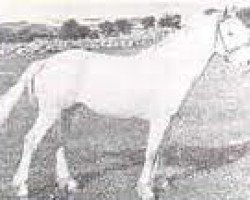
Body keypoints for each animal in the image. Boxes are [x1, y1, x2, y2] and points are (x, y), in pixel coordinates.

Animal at [0, 5, 250, 199]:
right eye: (230, 33)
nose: (246, 64)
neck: (170, 67)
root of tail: (45, 62)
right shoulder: (159, 120)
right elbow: (151, 151)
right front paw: (145, 189)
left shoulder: (169, 120)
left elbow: (161, 150)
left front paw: (159, 182)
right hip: (49, 113)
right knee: (31, 141)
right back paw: (21, 187)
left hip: (67, 112)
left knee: (60, 142)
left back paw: (68, 183)